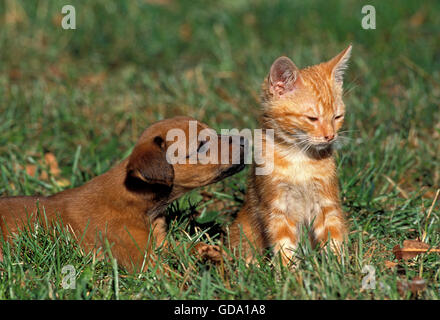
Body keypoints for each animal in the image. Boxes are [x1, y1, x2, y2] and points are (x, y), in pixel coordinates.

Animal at [0, 116, 248, 272]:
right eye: (201, 146)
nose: (245, 139)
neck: (137, 199)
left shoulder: (159, 243)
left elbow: (181, 246)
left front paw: (210, 252)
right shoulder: (142, 259)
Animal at [229, 45, 352, 264]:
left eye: (337, 117)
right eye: (312, 118)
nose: (330, 136)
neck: (299, 158)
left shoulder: (327, 203)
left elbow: (334, 237)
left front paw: (339, 267)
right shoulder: (277, 209)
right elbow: (284, 247)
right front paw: (289, 272)